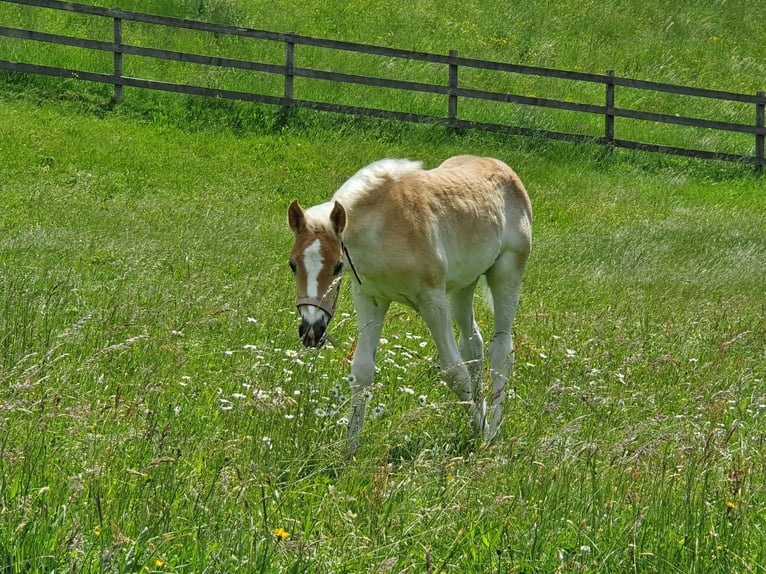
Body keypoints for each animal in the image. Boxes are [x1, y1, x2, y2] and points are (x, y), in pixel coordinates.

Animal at [288, 155, 536, 456]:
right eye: (292, 265)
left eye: (337, 266)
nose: (311, 330)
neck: (384, 230)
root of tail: (501, 166)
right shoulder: (370, 298)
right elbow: (362, 371)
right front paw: (350, 452)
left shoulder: (432, 299)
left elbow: (455, 372)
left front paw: (482, 432)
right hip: (463, 286)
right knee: (473, 345)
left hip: (506, 274)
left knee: (501, 351)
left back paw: (493, 431)